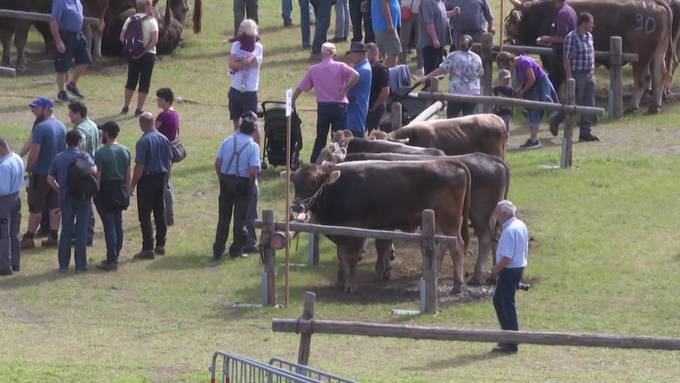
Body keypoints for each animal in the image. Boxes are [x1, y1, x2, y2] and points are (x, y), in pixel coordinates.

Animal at [284, 160, 470, 292]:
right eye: (295, 181)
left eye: (315, 181)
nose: (297, 206)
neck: (337, 189)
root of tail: (450, 163)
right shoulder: (341, 233)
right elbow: (341, 256)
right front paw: (341, 281)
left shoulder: (355, 230)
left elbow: (351, 257)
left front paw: (351, 285)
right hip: (439, 223)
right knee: (443, 247)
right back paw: (434, 275)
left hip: (450, 221)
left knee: (457, 247)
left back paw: (457, 284)